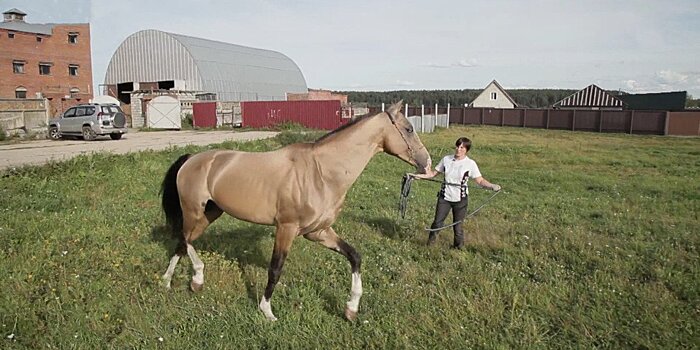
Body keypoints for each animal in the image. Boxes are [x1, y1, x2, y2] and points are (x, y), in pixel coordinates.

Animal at [161, 100, 430, 322]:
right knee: (184, 239)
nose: (426, 163)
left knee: (182, 243)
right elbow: (275, 268)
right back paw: (192, 278)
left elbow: (354, 256)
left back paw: (174, 281)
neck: (321, 172)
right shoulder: (286, 228)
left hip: (210, 213)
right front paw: (266, 310)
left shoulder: (318, 232)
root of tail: (191, 159)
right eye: (408, 129)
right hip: (193, 212)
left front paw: (351, 309)